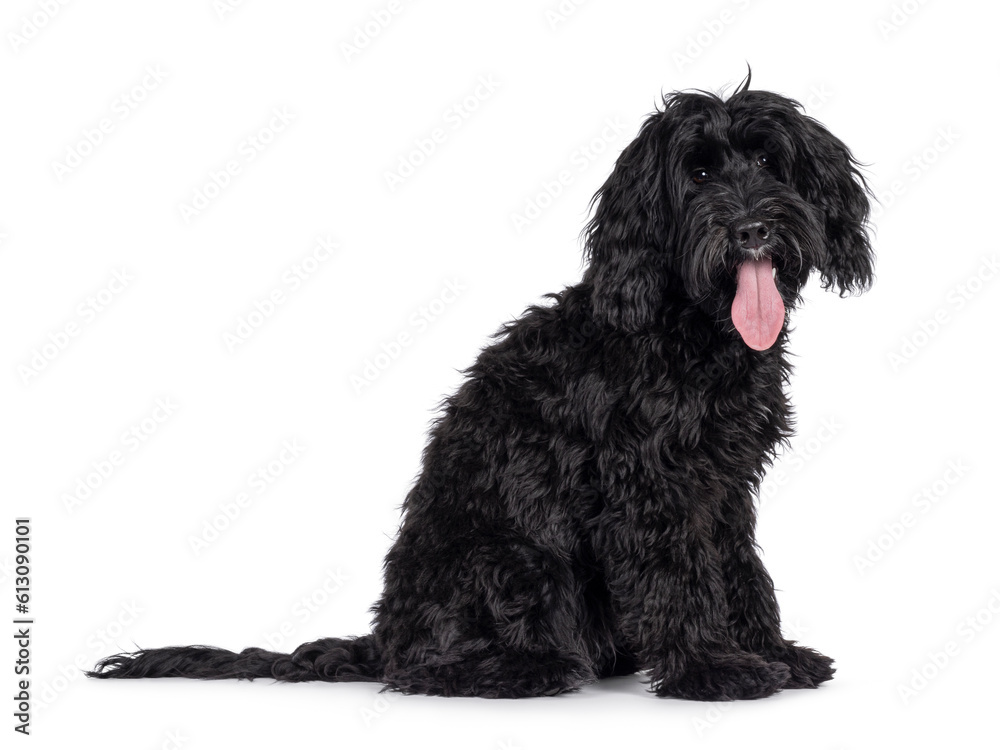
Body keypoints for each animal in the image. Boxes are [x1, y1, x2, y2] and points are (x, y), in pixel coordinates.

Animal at [94, 79, 876, 704]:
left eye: (769, 162)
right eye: (700, 172)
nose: (752, 228)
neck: (684, 328)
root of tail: (386, 634)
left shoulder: (723, 486)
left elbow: (740, 571)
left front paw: (771, 653)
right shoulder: (648, 488)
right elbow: (679, 578)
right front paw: (713, 669)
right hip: (517, 559)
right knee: (425, 670)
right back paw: (532, 669)